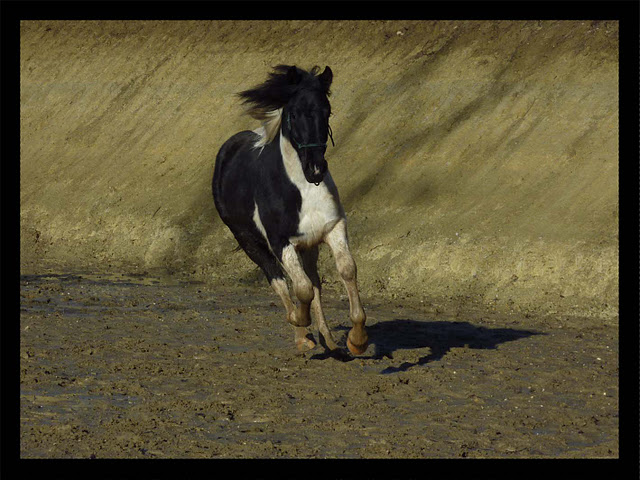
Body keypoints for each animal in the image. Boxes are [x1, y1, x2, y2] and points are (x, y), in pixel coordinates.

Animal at [212, 64, 368, 356]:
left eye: (327, 110)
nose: (316, 168)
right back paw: (301, 335)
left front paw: (357, 339)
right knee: (278, 280)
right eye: (294, 114)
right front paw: (299, 320)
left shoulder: (332, 228)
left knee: (313, 281)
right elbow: (302, 289)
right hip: (250, 242)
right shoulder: (280, 241)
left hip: (308, 246)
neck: (302, 190)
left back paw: (327, 339)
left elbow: (345, 271)